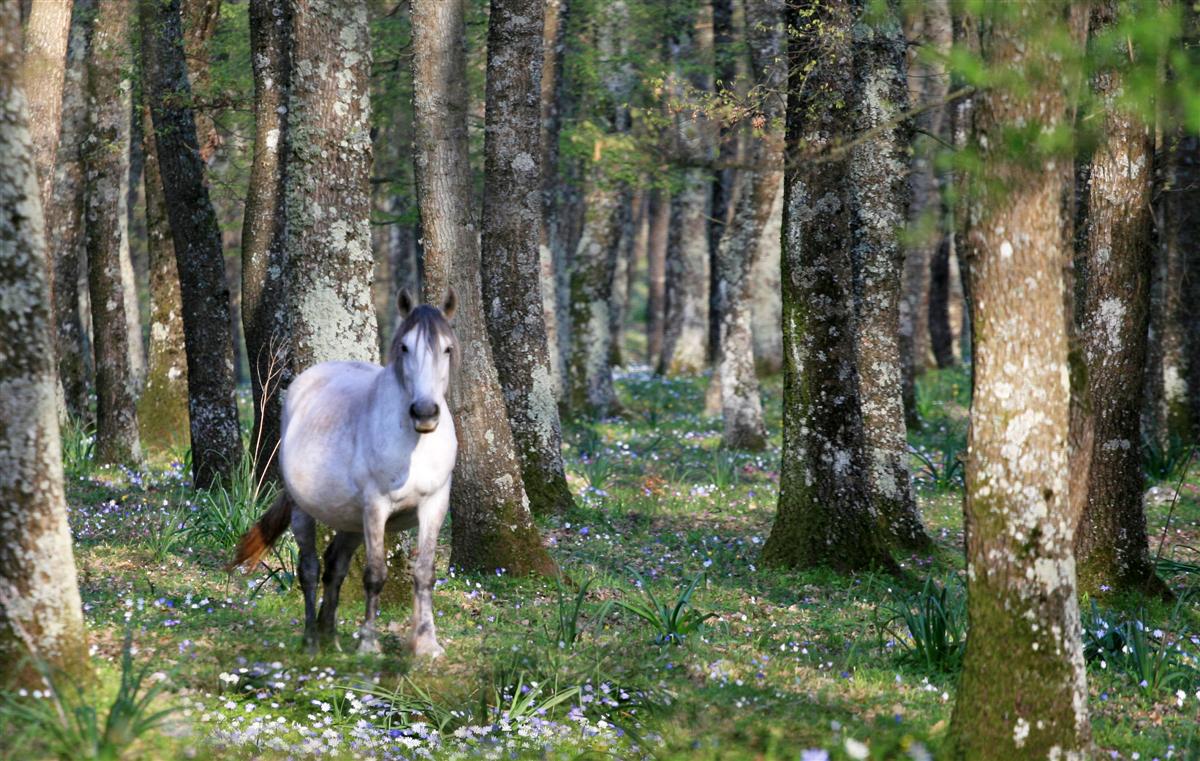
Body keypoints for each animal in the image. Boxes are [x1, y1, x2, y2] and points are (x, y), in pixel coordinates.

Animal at [230, 290, 458, 658]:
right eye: (404, 347)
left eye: (447, 348)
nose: (424, 412)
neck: (413, 445)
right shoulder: (376, 507)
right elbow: (375, 575)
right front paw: (369, 644)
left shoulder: (434, 505)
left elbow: (424, 573)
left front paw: (427, 644)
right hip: (304, 511)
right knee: (310, 569)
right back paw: (311, 640)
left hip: (350, 521)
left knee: (335, 566)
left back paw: (330, 637)